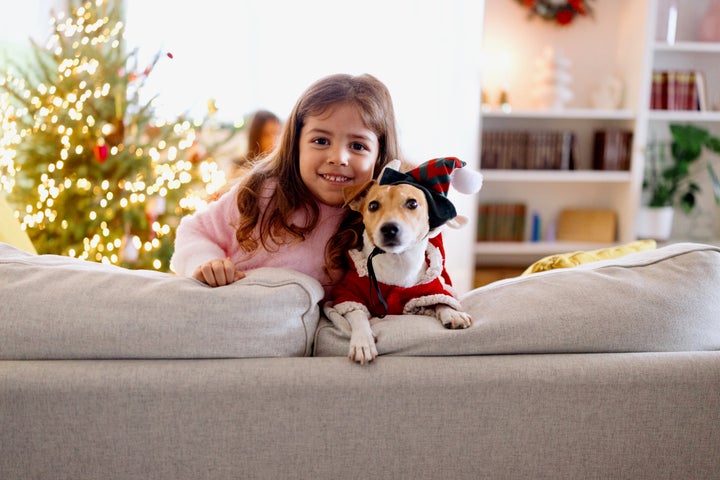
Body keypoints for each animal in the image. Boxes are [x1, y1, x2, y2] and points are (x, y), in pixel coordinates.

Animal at [326, 158, 478, 364]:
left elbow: (441, 300)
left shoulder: (429, 289)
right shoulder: (349, 293)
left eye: (412, 203)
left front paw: (452, 312)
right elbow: (357, 314)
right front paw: (363, 341)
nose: (389, 228)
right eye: (373, 206)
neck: (397, 262)